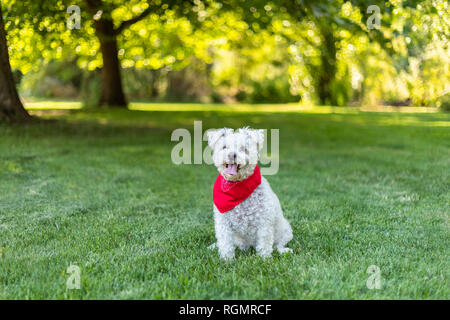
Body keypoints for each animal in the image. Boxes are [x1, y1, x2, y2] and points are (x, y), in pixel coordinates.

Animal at [207, 126, 294, 258]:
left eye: (244, 148)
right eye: (224, 147)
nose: (232, 155)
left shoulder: (264, 222)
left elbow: (264, 243)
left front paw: (265, 258)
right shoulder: (223, 223)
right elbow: (225, 243)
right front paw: (226, 259)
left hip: (285, 229)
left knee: (279, 244)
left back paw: (284, 250)